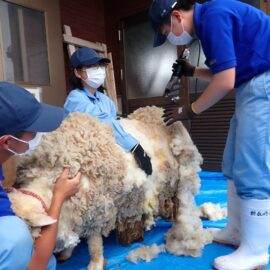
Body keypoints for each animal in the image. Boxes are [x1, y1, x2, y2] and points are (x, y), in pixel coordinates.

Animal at [7, 106, 212, 270]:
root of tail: (157, 110)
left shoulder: (97, 207)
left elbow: (94, 242)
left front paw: (95, 263)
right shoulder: (77, 209)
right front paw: (67, 253)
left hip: (172, 181)